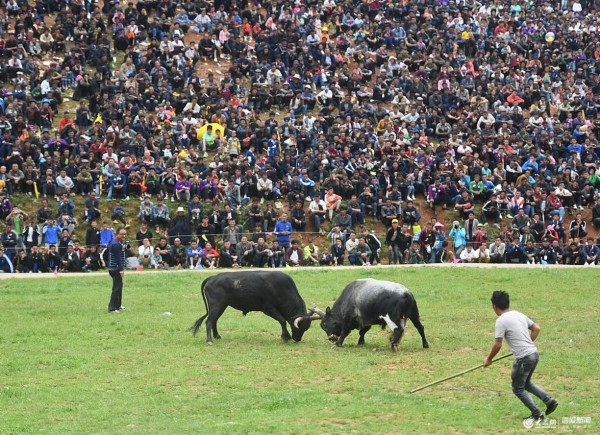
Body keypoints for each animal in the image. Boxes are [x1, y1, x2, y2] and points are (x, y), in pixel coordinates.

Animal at [193, 272, 322, 344]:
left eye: (306, 328)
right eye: (299, 327)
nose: (297, 339)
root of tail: (212, 278)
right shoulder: (268, 309)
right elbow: (282, 320)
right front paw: (286, 337)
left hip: (220, 306)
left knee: (214, 320)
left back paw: (217, 336)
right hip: (216, 306)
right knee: (209, 321)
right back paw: (209, 341)